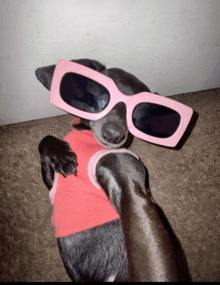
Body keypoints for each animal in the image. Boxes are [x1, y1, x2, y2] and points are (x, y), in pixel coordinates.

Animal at [35, 58, 180, 280]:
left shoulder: (131, 189)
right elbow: (45, 140)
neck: (87, 137)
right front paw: (61, 155)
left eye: (135, 115)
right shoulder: (52, 182)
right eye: (103, 98)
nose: (113, 135)